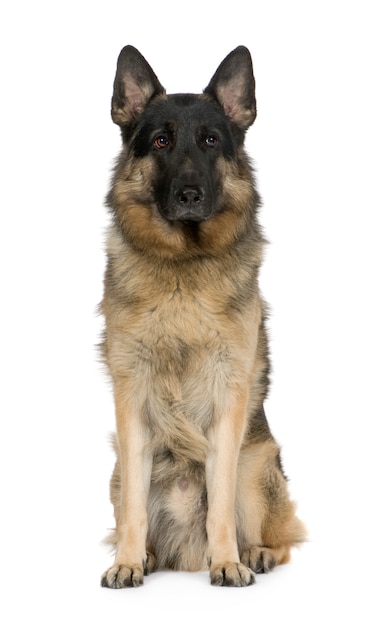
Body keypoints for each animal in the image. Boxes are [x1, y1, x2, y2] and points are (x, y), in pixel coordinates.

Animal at [99, 45, 308, 584]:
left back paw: (252, 553)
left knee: (279, 534)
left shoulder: (228, 396)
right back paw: (148, 556)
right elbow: (133, 508)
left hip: (257, 463)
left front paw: (228, 562)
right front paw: (127, 562)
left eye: (212, 140)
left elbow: (220, 505)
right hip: (117, 471)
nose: (190, 196)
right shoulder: (131, 400)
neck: (183, 269)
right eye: (161, 141)